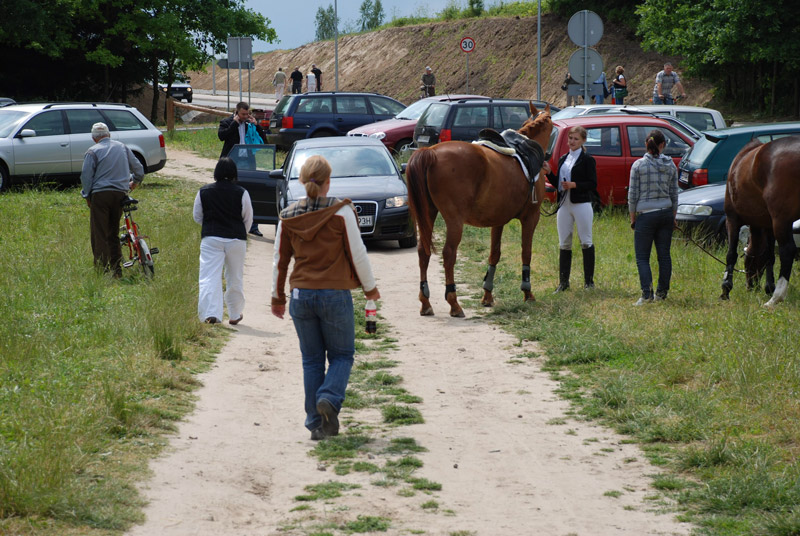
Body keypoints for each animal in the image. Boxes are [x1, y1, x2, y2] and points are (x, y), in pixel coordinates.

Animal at [406, 102, 552, 316]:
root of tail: (431, 152)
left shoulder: (498, 221)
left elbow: (494, 254)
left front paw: (487, 295)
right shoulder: (531, 218)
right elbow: (526, 253)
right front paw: (527, 293)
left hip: (428, 214)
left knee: (423, 252)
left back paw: (425, 302)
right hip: (454, 220)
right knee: (449, 254)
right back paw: (454, 302)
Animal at [720, 135, 800, 306]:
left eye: (747, 260)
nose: (750, 285)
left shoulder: (732, 218)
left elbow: (731, 254)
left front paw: (725, 289)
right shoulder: (768, 224)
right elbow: (770, 255)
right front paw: (769, 287)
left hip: (781, 220)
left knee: (787, 251)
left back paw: (776, 298)